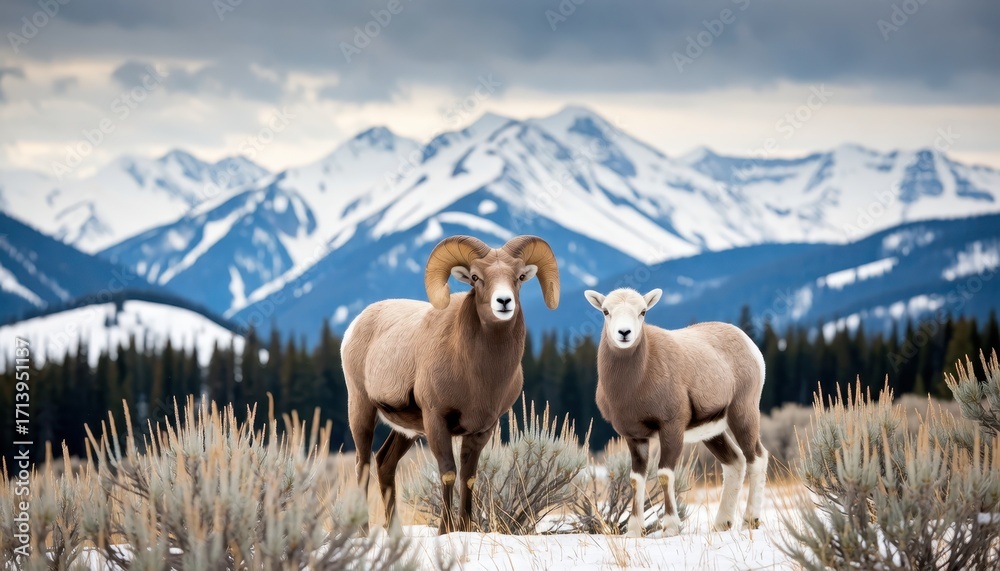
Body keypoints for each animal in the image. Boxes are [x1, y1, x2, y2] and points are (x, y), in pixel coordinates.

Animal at [342, 235, 559, 534]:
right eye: (476, 277)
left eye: (518, 277)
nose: (504, 302)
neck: (478, 376)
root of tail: (355, 325)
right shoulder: (436, 421)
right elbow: (447, 473)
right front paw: (444, 530)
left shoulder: (482, 430)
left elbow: (468, 477)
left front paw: (465, 528)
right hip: (361, 409)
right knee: (362, 465)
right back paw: (363, 531)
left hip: (407, 431)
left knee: (384, 464)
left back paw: (395, 532)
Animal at [584, 287, 768, 537]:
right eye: (605, 311)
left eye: (643, 311)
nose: (624, 333)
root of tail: (749, 344)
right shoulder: (635, 437)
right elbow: (636, 479)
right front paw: (634, 531)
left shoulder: (671, 428)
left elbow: (664, 474)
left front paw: (670, 527)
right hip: (713, 433)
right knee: (735, 462)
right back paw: (722, 523)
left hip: (742, 415)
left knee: (756, 458)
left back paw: (750, 520)